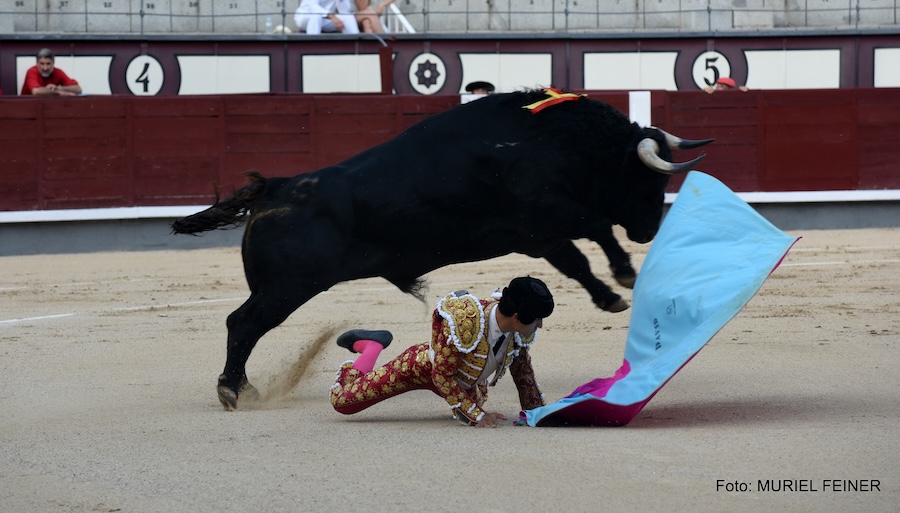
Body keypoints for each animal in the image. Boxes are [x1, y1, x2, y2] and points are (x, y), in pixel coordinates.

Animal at [172, 88, 712, 410]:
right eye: (646, 177)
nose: (649, 230)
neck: (549, 141)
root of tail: (277, 186)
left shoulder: (542, 235)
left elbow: (583, 252)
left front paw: (615, 288)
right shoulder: (544, 222)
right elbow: (593, 234)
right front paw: (621, 280)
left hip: (281, 288)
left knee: (244, 325)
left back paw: (241, 387)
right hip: (287, 288)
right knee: (242, 323)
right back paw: (233, 390)